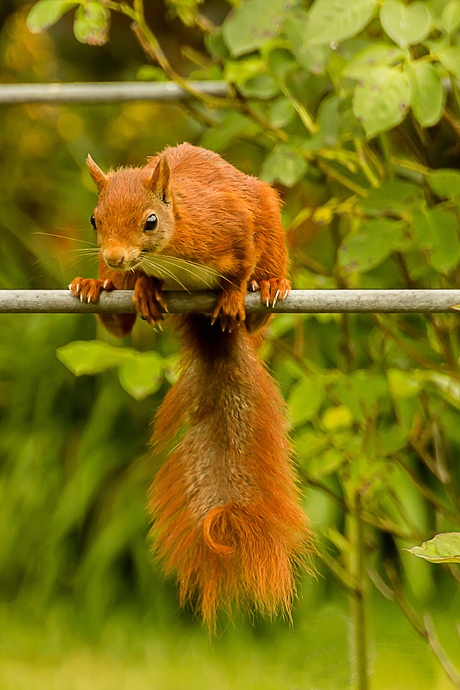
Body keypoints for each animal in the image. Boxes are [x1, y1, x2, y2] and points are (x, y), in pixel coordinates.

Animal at [69, 140, 312, 624]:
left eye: (150, 221)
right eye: (94, 219)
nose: (115, 257)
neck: (169, 249)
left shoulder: (231, 223)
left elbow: (240, 264)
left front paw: (235, 294)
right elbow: (142, 282)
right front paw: (144, 288)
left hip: (271, 226)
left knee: (259, 305)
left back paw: (269, 287)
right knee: (119, 323)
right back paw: (96, 287)